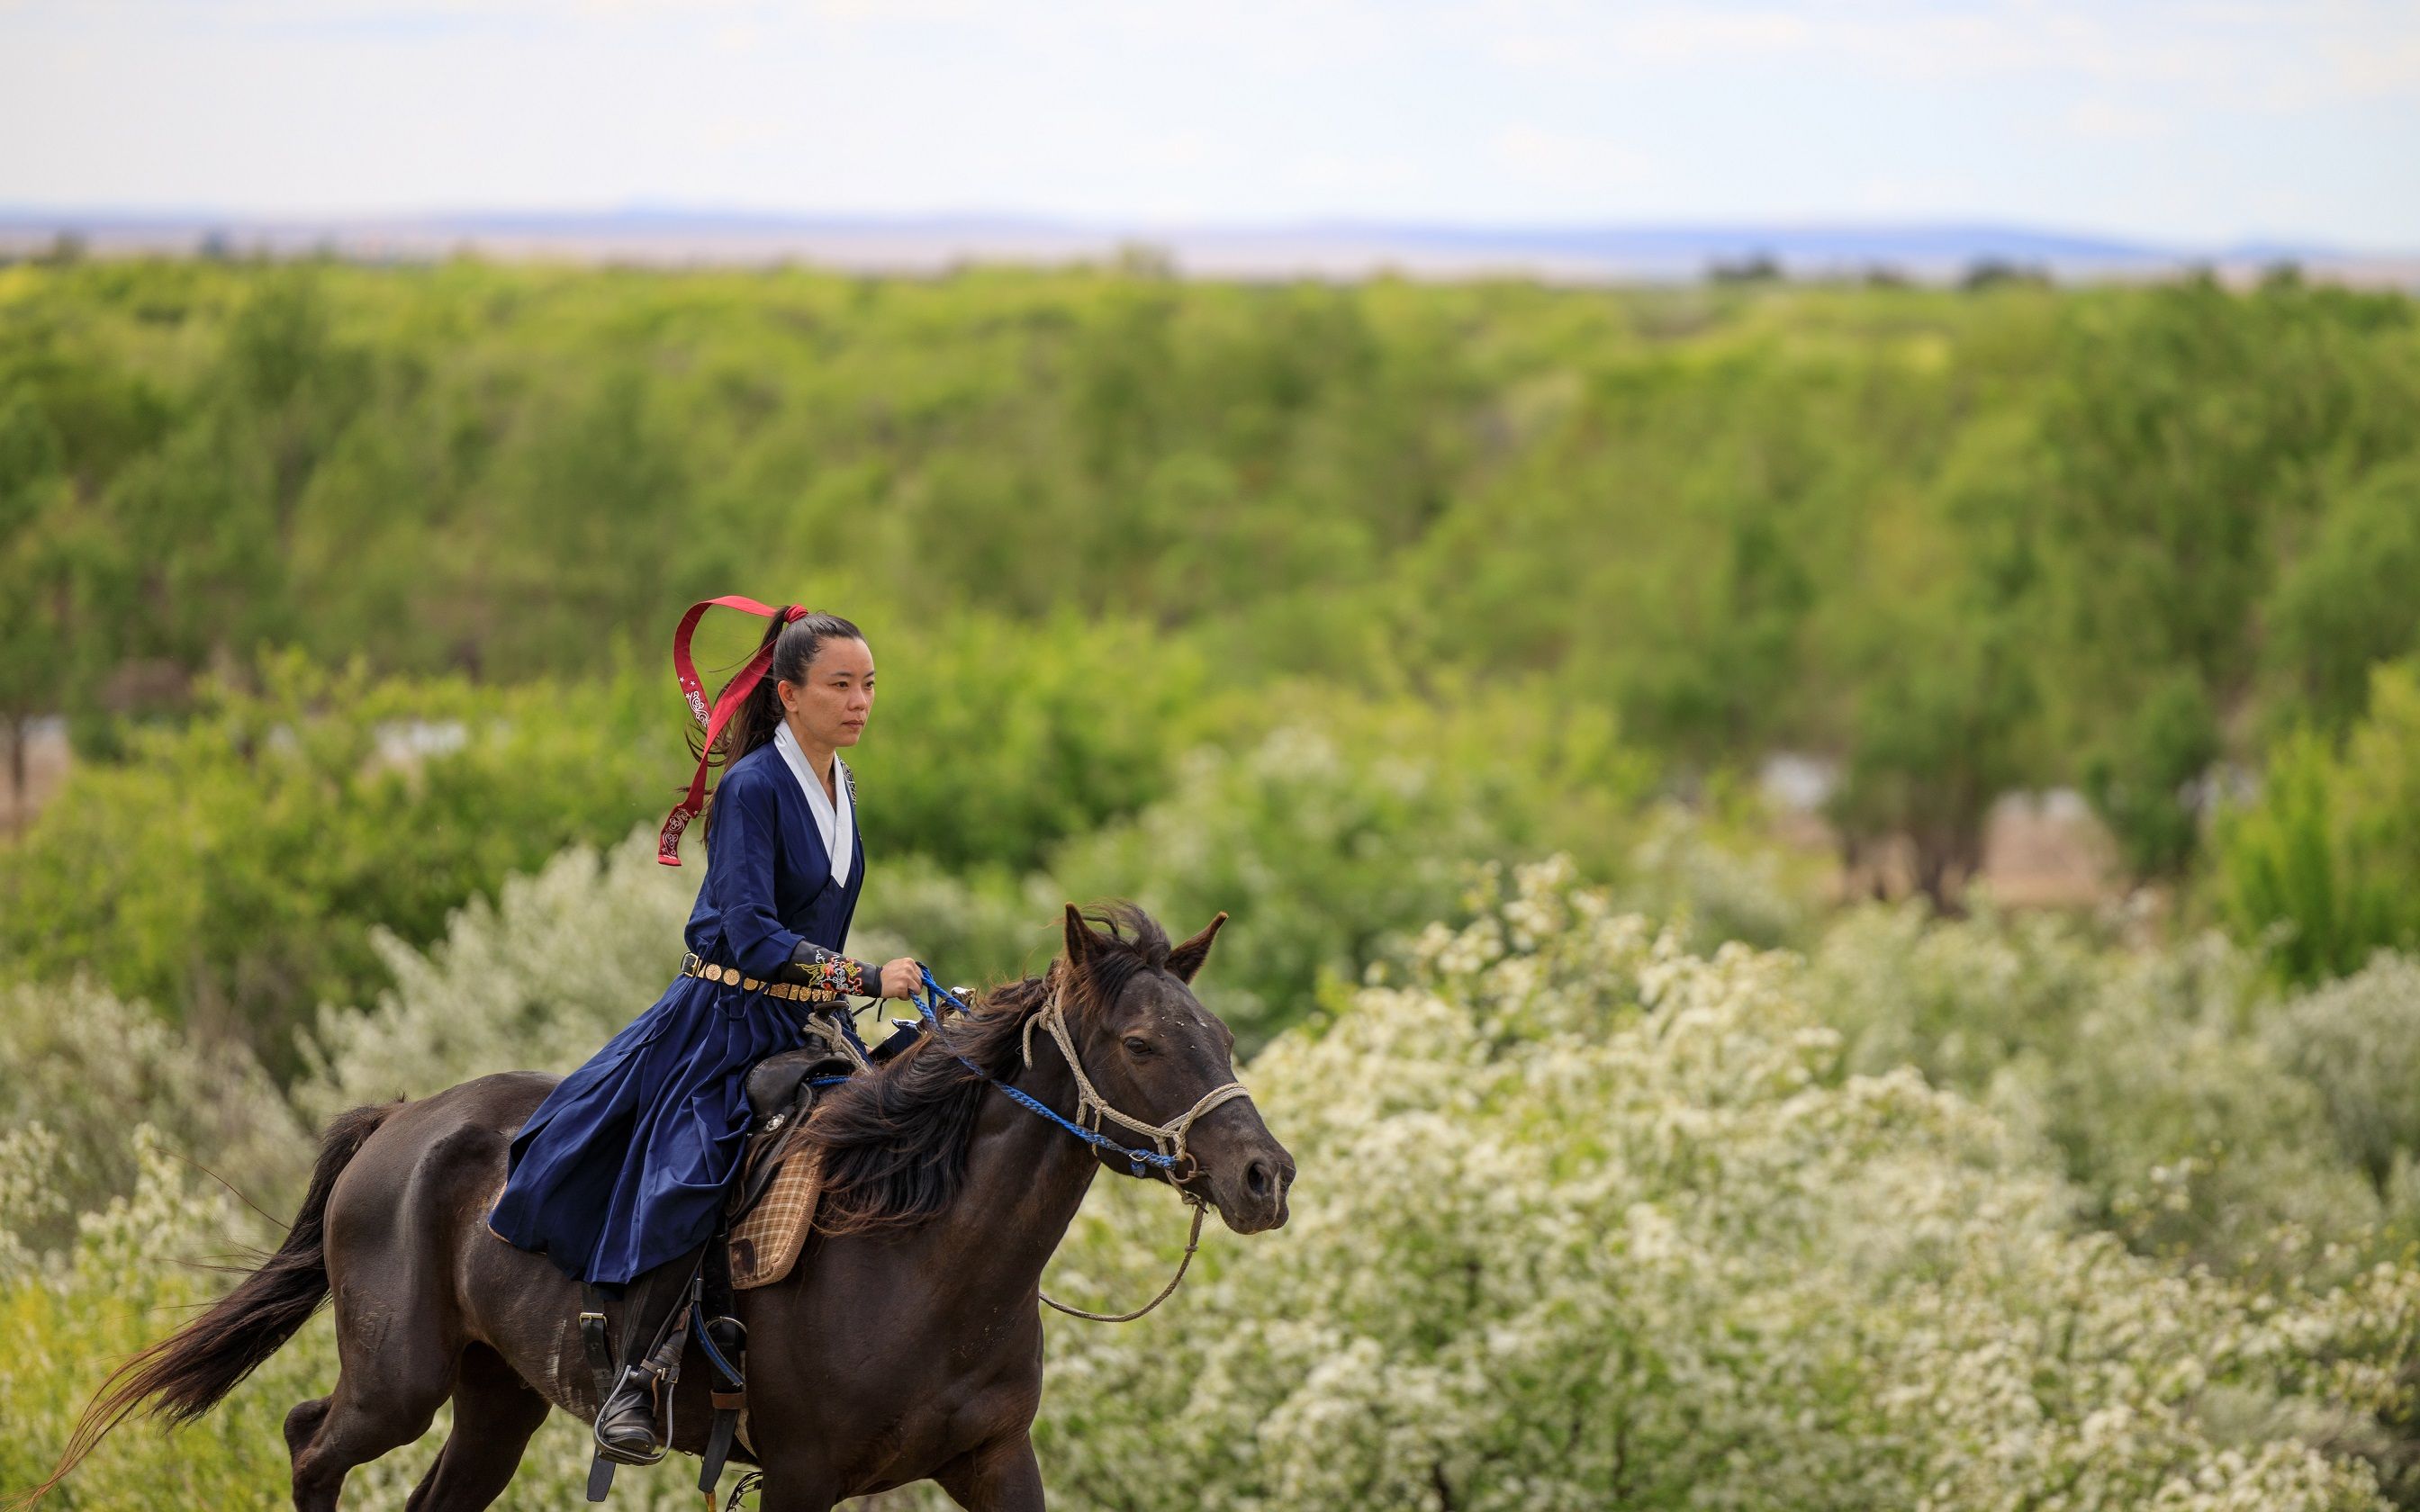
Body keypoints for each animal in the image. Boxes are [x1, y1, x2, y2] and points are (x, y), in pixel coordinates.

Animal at [28, 899, 1296, 1499]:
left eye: (1223, 1036)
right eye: (1140, 1043)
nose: (1264, 1177)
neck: (931, 1260)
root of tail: (400, 1121)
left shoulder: (993, 1463)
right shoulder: (800, 1479)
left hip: (496, 1401)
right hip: (397, 1382)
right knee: (305, 1442)